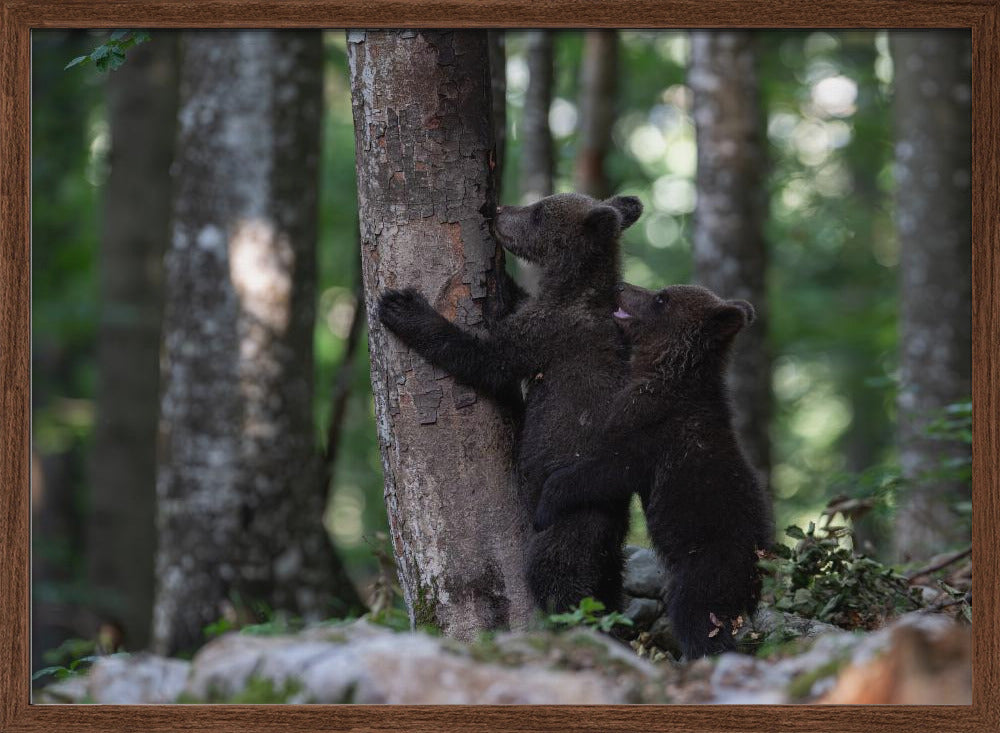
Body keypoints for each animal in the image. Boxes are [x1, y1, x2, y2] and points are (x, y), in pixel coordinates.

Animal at [378, 192, 643, 614]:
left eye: (538, 212)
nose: (497, 210)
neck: (573, 289)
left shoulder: (547, 333)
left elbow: (486, 359)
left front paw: (403, 307)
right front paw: (502, 280)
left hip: (569, 519)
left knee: (559, 575)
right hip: (610, 548)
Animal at [533, 283, 774, 658]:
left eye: (662, 298)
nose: (621, 286)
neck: (665, 373)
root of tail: (757, 573)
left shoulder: (650, 433)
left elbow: (604, 471)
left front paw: (547, 502)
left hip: (708, 564)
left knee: (696, 615)